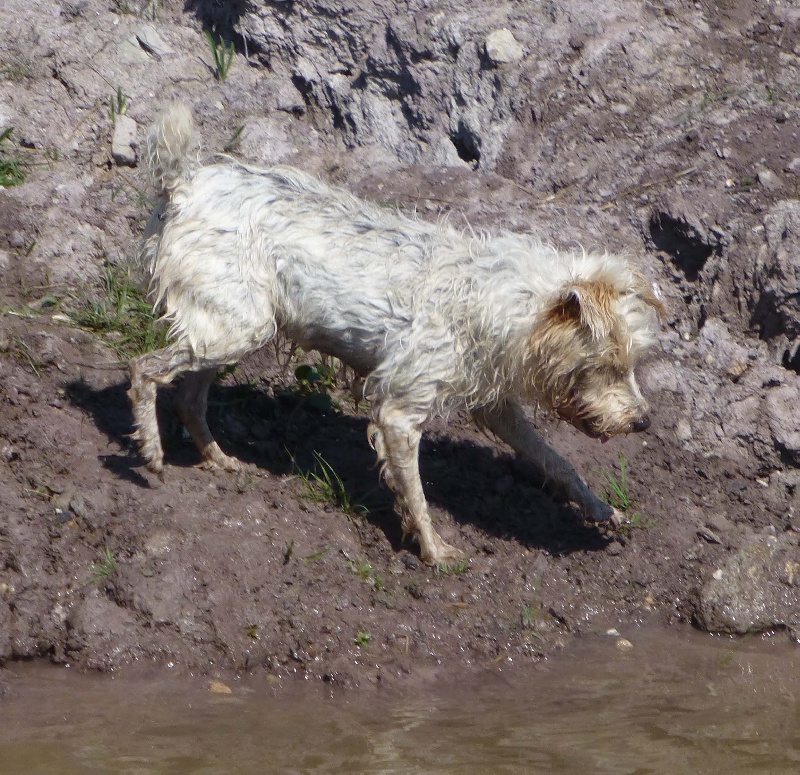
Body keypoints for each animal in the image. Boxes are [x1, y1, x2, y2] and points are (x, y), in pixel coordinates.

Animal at [128, 101, 664, 564]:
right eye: (605, 365)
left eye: (632, 364)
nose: (643, 423)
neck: (498, 301)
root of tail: (186, 179)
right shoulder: (400, 412)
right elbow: (416, 492)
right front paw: (433, 549)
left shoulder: (496, 405)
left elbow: (557, 462)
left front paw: (600, 508)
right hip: (237, 328)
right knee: (144, 369)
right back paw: (151, 452)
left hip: (234, 326)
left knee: (189, 396)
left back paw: (217, 458)